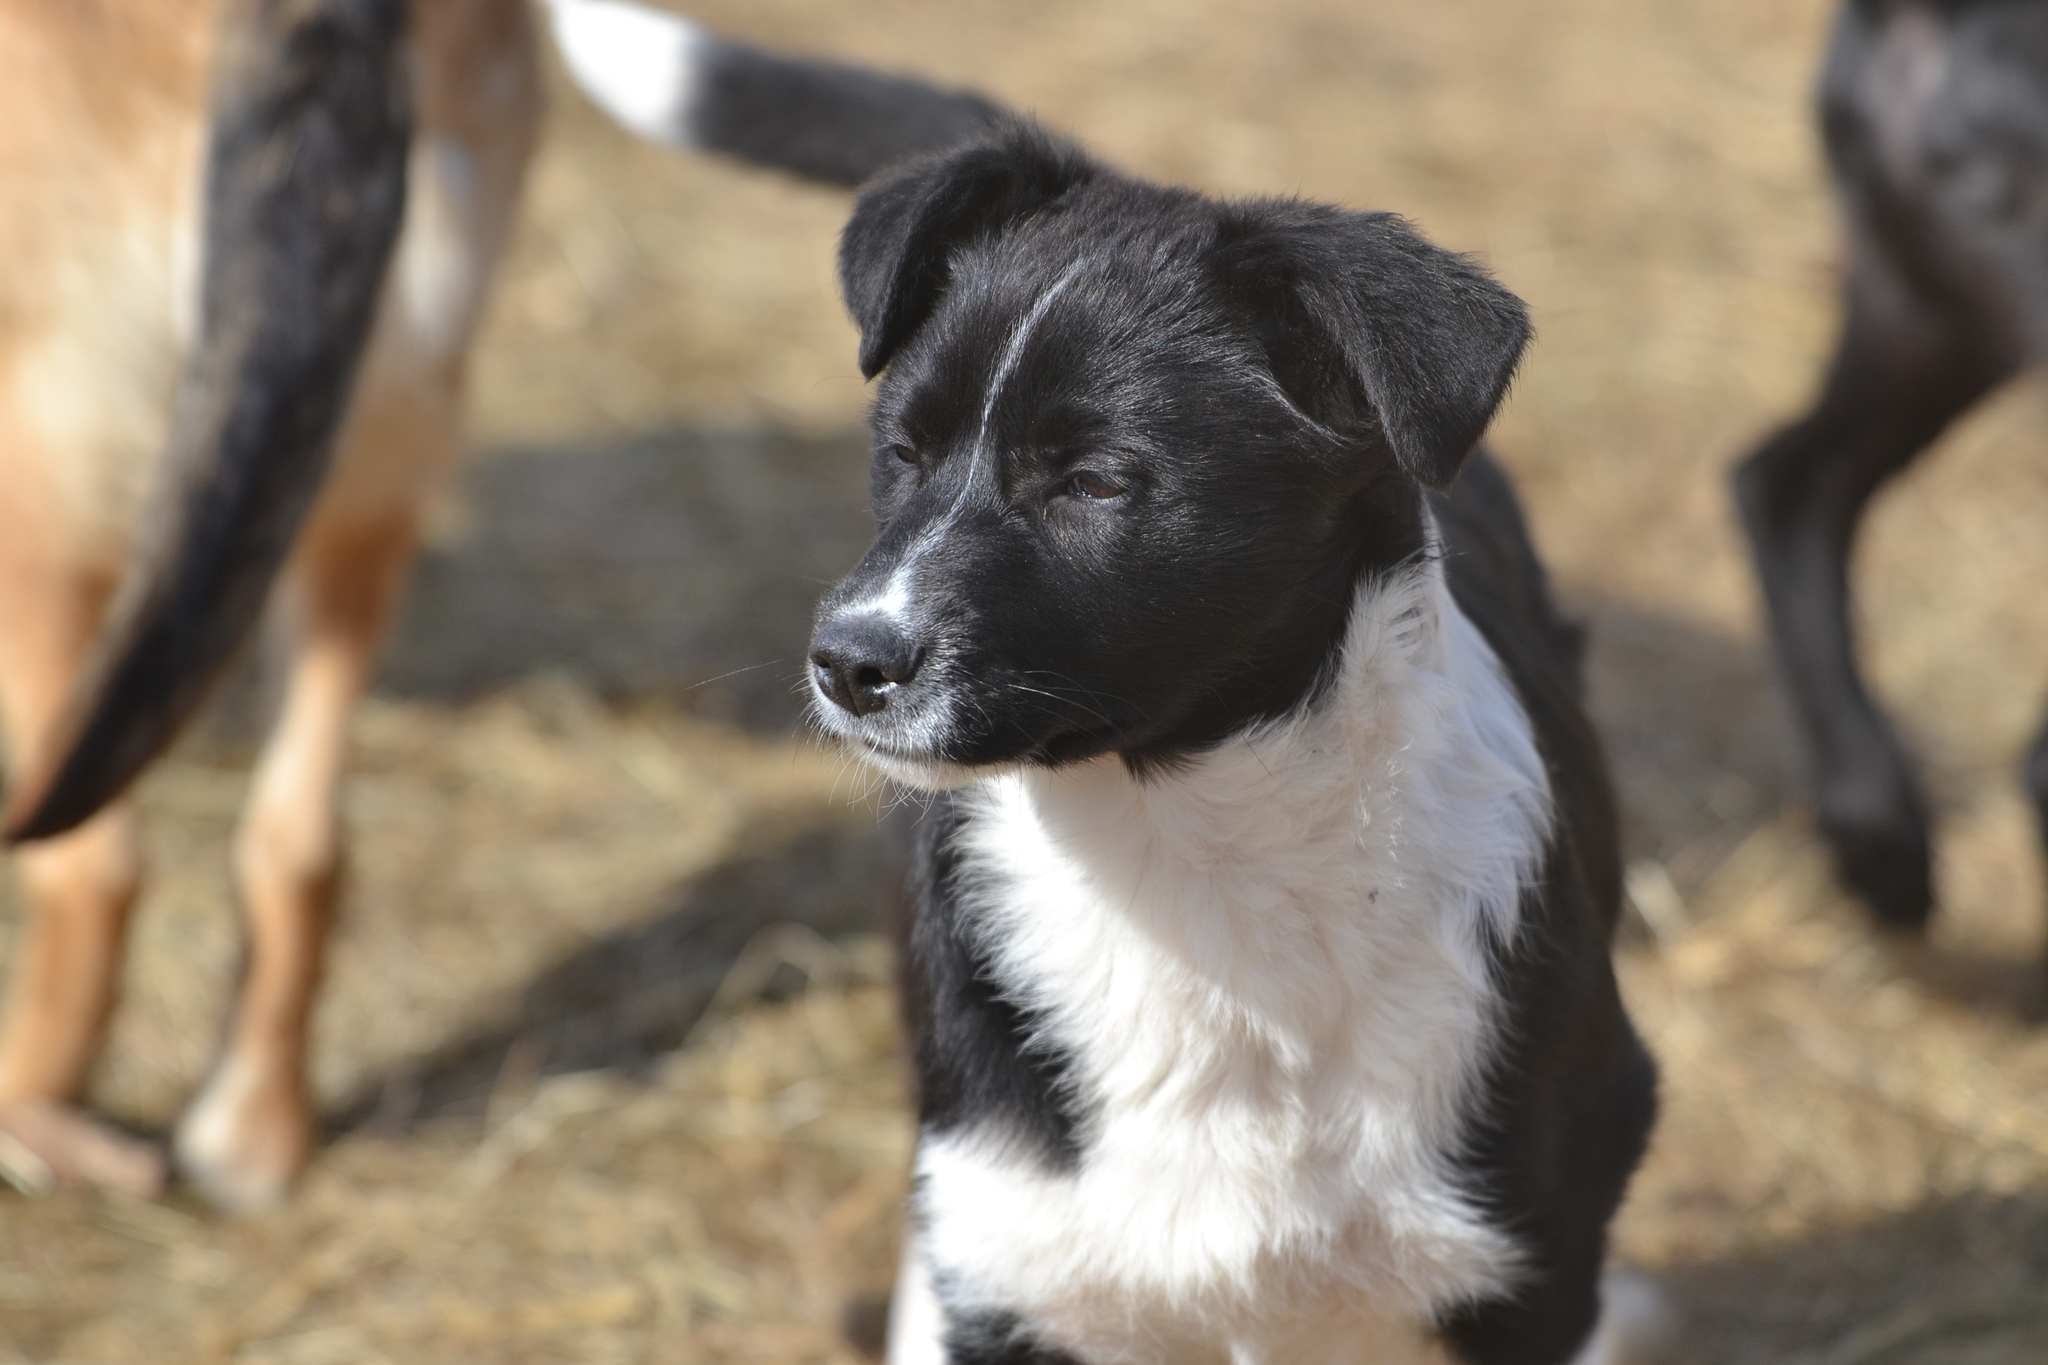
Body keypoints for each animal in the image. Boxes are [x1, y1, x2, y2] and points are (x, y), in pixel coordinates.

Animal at [0, 0, 999, 1211]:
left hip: (52, 481)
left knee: (91, 856)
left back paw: (36, 1118)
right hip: (367, 451)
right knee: (296, 839)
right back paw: (257, 1135)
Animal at [806, 125, 1654, 1365]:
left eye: (1095, 481)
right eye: (903, 453)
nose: (845, 663)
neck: (1188, 855)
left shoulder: (1533, 1264)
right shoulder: (1018, 1252)